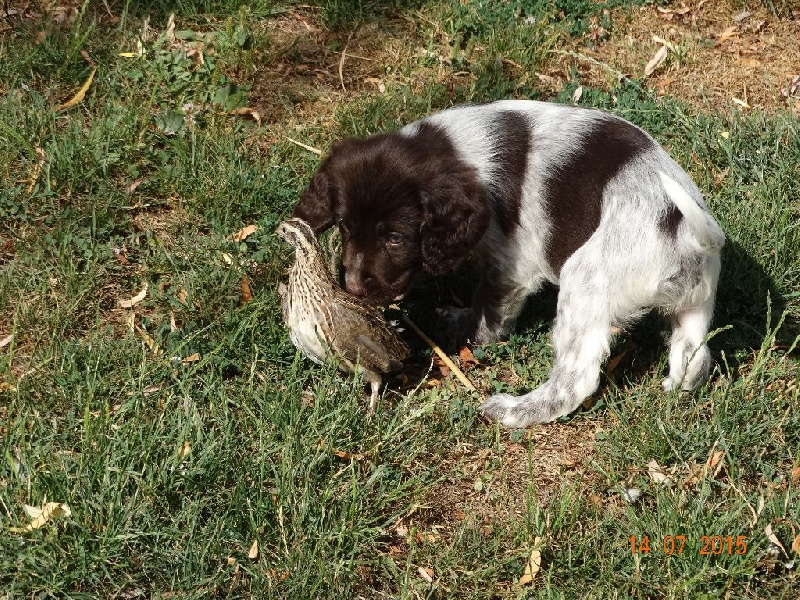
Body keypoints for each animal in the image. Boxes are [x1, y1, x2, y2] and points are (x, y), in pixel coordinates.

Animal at [292, 99, 724, 426]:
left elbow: (488, 309)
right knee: (694, 358)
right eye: (345, 228)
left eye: (395, 238)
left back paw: (515, 410)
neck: (453, 149)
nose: (352, 289)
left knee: (575, 382)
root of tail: (686, 233)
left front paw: (470, 336)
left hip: (584, 281)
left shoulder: (509, 265)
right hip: (696, 305)